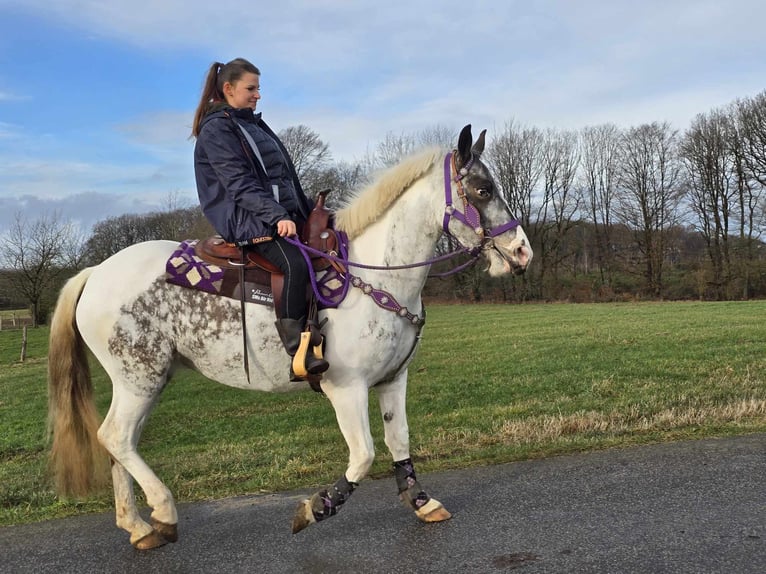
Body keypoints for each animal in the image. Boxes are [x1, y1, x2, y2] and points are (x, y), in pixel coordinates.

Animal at [46, 124, 528, 552]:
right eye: (482, 190)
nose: (523, 251)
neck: (374, 276)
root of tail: (95, 273)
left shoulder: (393, 380)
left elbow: (400, 441)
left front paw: (421, 502)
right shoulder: (346, 389)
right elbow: (364, 455)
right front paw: (316, 508)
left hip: (142, 383)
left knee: (120, 443)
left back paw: (138, 526)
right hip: (139, 379)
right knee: (115, 438)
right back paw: (162, 513)